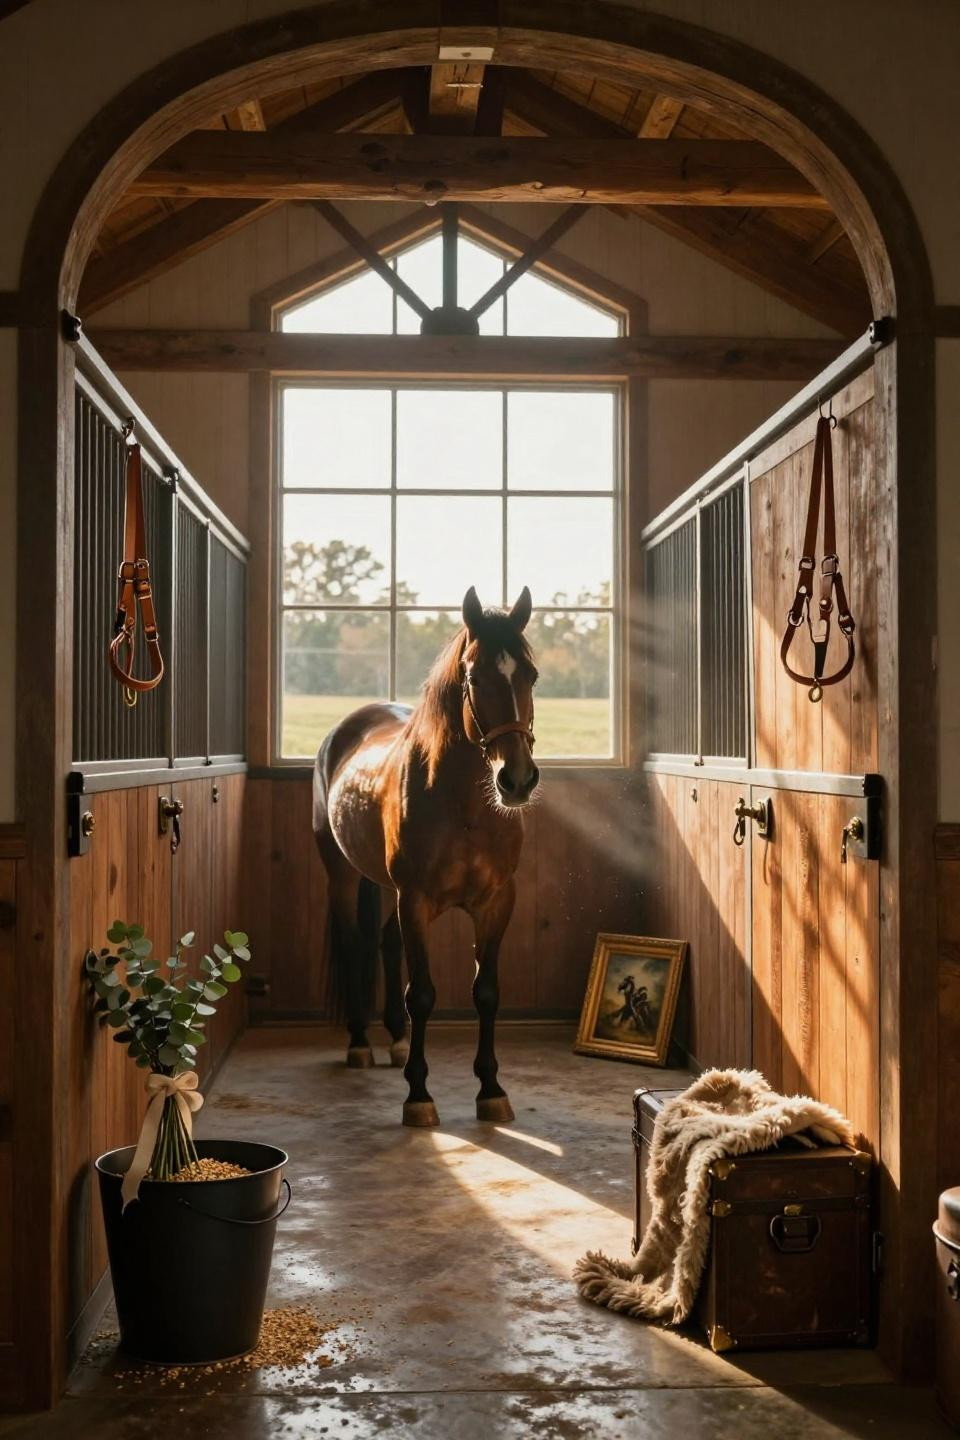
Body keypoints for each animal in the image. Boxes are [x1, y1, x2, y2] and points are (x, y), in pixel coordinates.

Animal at [312, 585, 540, 1127]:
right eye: (475, 677)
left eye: (531, 675)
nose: (518, 780)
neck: (463, 805)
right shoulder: (415, 900)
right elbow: (423, 994)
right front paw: (418, 1094)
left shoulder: (495, 903)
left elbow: (487, 992)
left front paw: (491, 1089)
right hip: (343, 875)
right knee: (355, 945)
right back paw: (360, 1043)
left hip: (387, 888)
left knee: (386, 944)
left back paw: (396, 1040)